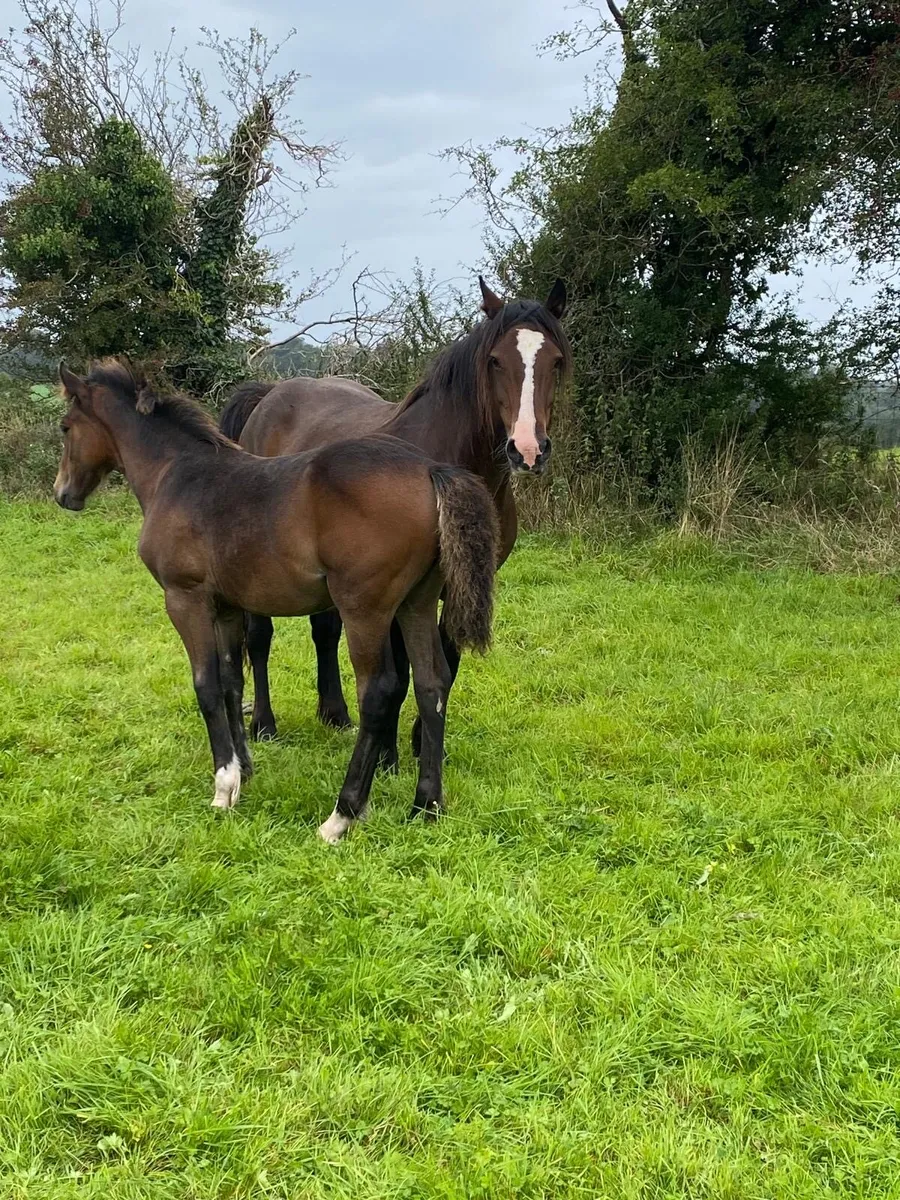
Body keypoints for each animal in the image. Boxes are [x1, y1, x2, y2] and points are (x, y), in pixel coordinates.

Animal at [52, 359, 499, 842]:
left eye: (65, 427)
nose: (63, 494)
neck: (176, 475)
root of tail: (430, 469)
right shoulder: (227, 607)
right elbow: (232, 681)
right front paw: (244, 769)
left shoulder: (185, 599)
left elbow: (206, 685)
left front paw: (223, 786)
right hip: (416, 604)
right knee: (431, 684)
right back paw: (426, 806)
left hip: (365, 609)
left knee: (379, 692)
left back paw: (343, 814)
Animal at [219, 276, 571, 757]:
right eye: (496, 360)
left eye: (555, 361)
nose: (527, 450)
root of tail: (269, 396)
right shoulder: (395, 590)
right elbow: (399, 672)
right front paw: (387, 755)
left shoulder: (455, 585)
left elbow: (446, 663)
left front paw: (423, 744)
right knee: (259, 636)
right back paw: (265, 725)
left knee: (324, 629)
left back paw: (335, 713)